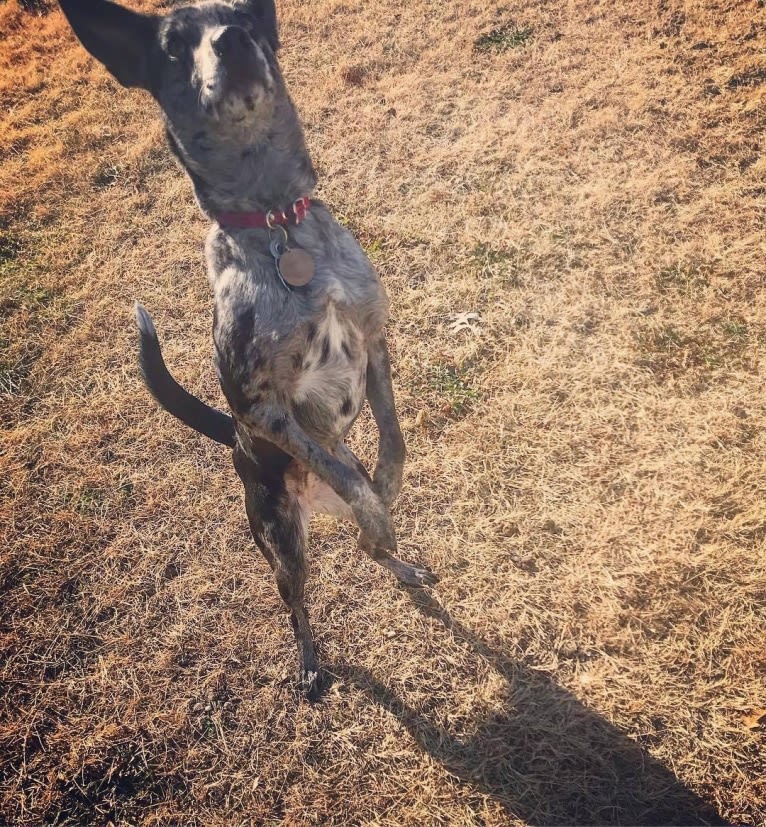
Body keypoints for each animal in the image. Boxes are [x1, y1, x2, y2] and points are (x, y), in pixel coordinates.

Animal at [61, 0, 438, 700]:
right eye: (174, 45)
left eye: (245, 17)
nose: (233, 41)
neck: (275, 223)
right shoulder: (262, 408)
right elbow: (351, 478)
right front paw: (374, 498)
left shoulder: (375, 340)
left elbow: (392, 443)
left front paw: (388, 484)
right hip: (282, 543)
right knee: (299, 605)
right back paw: (311, 664)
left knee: (370, 548)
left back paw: (401, 564)